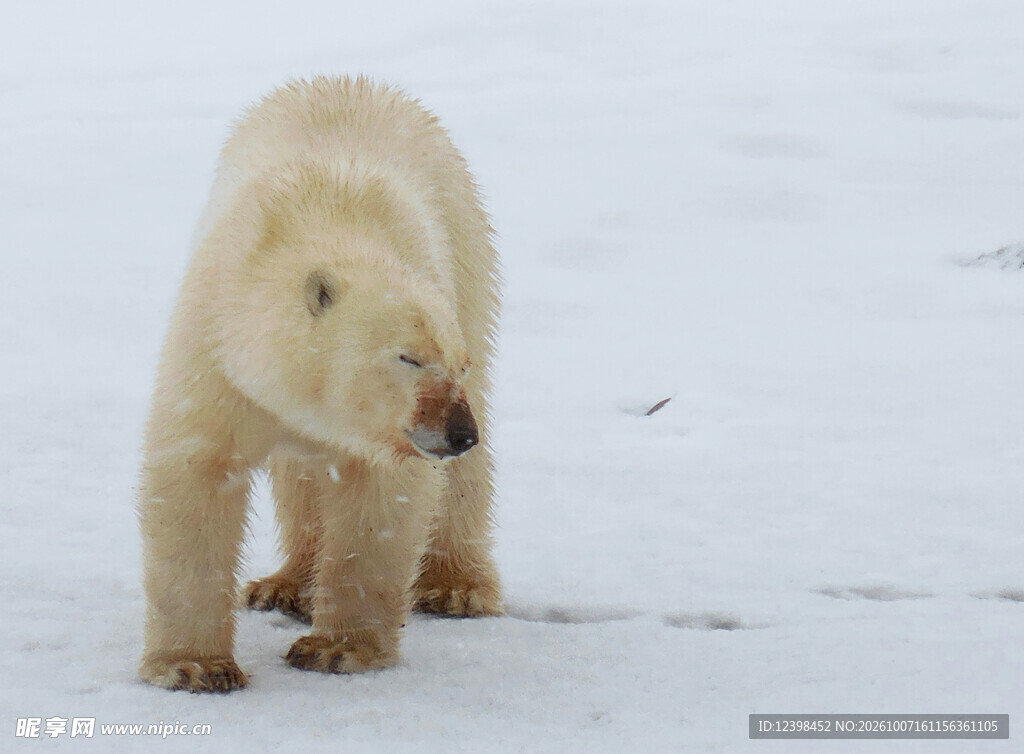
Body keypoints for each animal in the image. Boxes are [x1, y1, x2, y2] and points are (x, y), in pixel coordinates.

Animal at [137, 76, 502, 693]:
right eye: (407, 357)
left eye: (459, 365)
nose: (459, 433)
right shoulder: (219, 350)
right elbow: (197, 474)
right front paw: (194, 666)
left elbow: (380, 504)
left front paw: (336, 649)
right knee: (300, 473)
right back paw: (285, 585)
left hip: (469, 247)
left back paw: (455, 587)